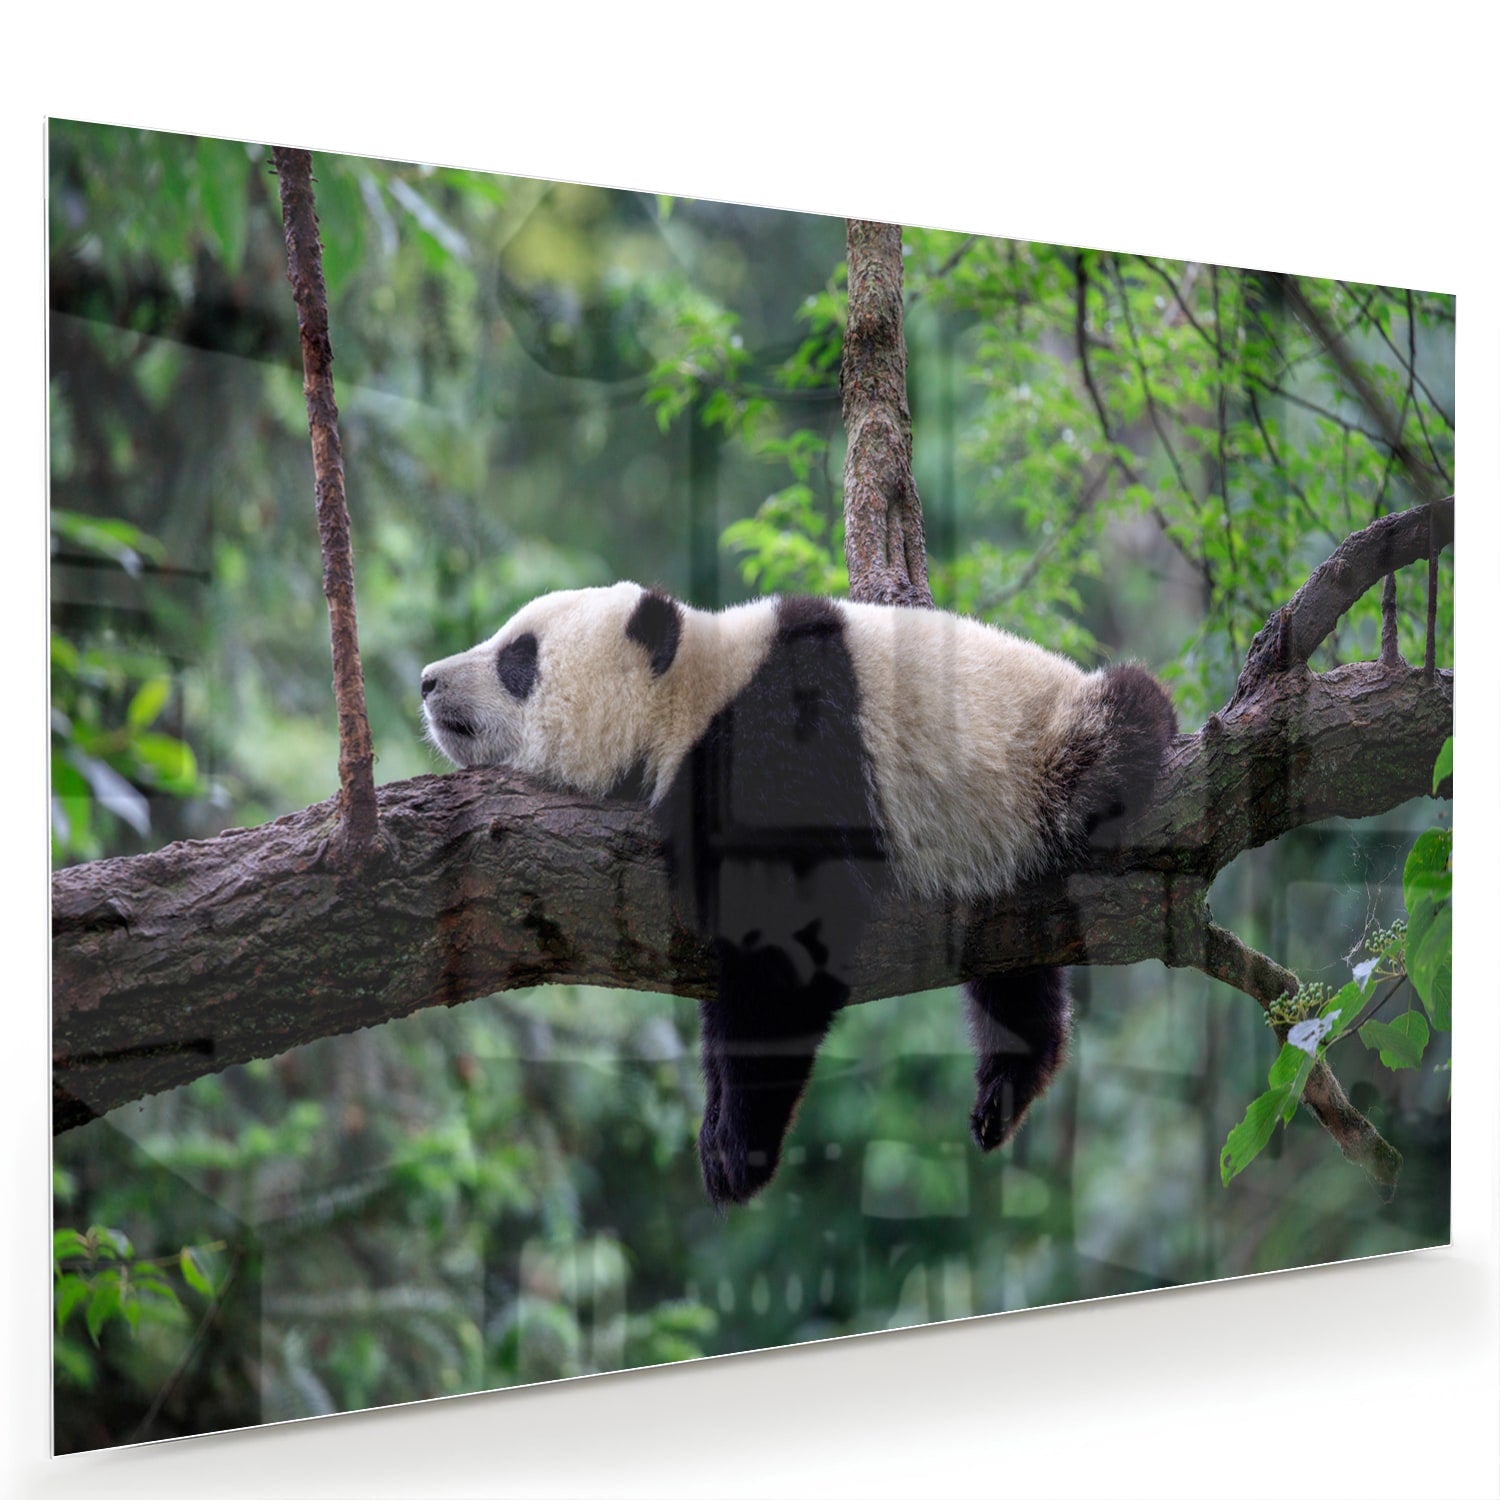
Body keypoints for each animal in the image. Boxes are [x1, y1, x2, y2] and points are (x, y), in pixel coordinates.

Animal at [421, 582, 1176, 1208]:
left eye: (518, 657)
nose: (427, 681)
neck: (691, 692)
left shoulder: (780, 753)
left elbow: (789, 943)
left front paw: (737, 1150)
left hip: (1047, 754)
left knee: (1123, 723)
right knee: (1015, 969)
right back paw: (1008, 1084)